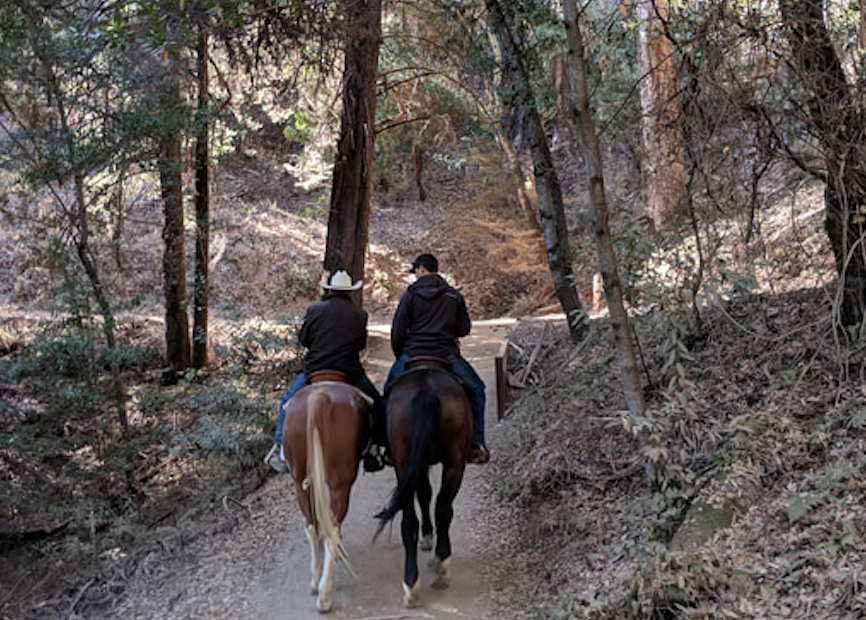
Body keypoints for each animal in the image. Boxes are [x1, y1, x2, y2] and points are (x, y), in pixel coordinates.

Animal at [280, 376, 368, 612]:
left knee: (311, 525)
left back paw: (315, 581)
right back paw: (324, 596)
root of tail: (320, 396)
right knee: (332, 530)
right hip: (341, 484)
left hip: (299, 479)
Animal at [370, 360, 470, 608]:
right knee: (442, 508)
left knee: (411, 520)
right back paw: (440, 566)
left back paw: (412, 585)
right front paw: (429, 537)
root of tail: (426, 392)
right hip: (454, 461)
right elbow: (426, 493)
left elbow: (424, 493)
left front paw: (427, 537)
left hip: (406, 461)